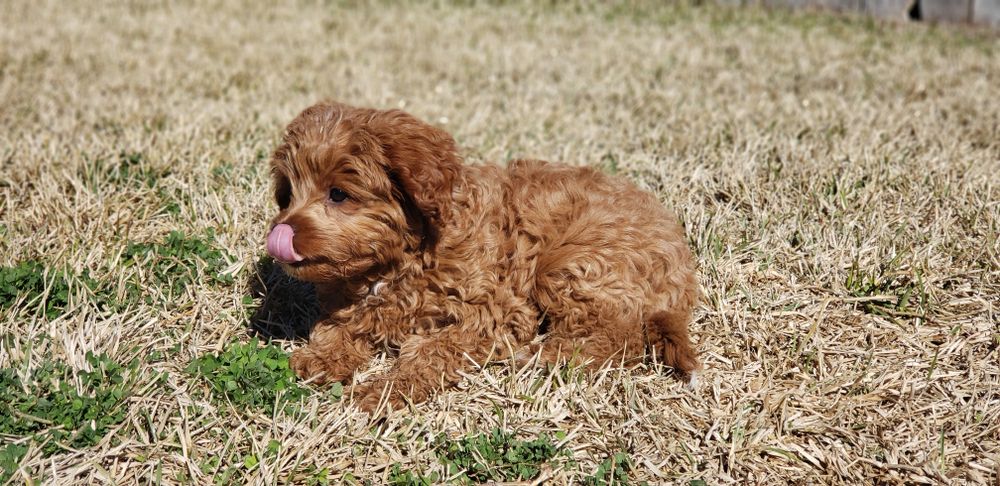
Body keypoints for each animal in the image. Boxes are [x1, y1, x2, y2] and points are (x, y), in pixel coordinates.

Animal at [268, 100, 704, 412]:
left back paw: (543, 354)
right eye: (288, 193)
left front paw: (386, 390)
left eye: (338, 194)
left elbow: (431, 349)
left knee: (621, 337)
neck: (403, 258)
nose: (280, 234)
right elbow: (339, 325)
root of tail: (682, 268)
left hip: (570, 264)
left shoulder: (495, 312)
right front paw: (321, 357)